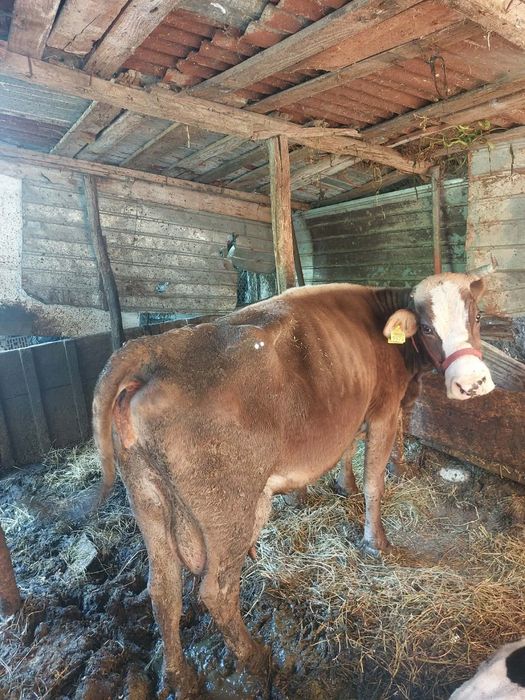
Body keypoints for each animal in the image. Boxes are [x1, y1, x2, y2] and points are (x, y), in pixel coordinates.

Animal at [92, 272, 494, 697]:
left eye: (478, 317)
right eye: (429, 328)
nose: (471, 383)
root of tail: (154, 348)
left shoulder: (351, 410)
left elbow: (346, 449)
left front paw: (344, 485)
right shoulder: (384, 409)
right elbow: (375, 481)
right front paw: (376, 541)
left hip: (147, 499)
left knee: (163, 591)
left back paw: (178, 677)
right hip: (228, 510)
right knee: (216, 591)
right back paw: (254, 656)